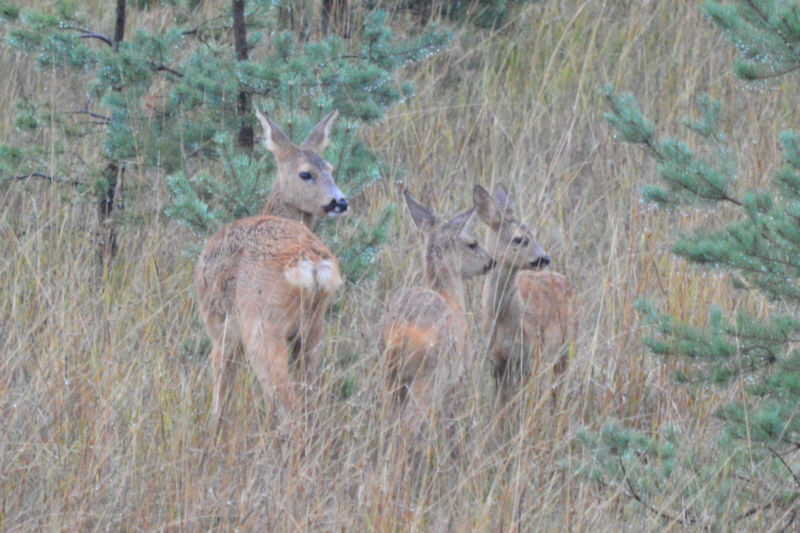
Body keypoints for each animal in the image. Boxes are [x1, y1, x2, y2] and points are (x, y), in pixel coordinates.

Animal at [195, 108, 346, 428]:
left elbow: (222, 385)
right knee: (308, 400)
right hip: (314, 327)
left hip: (263, 325)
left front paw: (214, 430)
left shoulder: (220, 328)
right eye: (307, 173)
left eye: (330, 169)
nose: (340, 202)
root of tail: (311, 265)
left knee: (286, 403)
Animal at [380, 189, 494, 418]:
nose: (490, 261)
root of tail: (401, 332)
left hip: (389, 373)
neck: (451, 300)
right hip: (430, 376)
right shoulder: (460, 374)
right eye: (472, 243)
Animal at [472, 185, 580, 406]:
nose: (544, 258)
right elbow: (503, 404)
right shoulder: (496, 361)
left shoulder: (533, 353)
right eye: (519, 238)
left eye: (533, 234)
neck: (502, 320)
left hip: (567, 344)